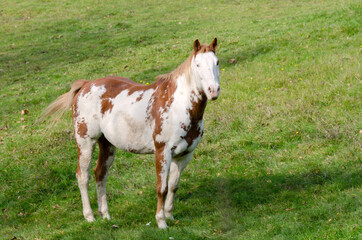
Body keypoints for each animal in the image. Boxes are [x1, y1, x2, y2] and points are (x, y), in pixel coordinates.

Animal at [40, 38, 221, 229]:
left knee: (100, 174)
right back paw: (89, 216)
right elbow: (162, 188)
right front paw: (161, 222)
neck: (178, 105)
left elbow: (173, 186)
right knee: (83, 176)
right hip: (86, 142)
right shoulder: (162, 152)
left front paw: (170, 216)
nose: (213, 90)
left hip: (107, 145)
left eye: (217, 62)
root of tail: (86, 85)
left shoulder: (185, 155)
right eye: (198, 64)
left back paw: (105, 215)